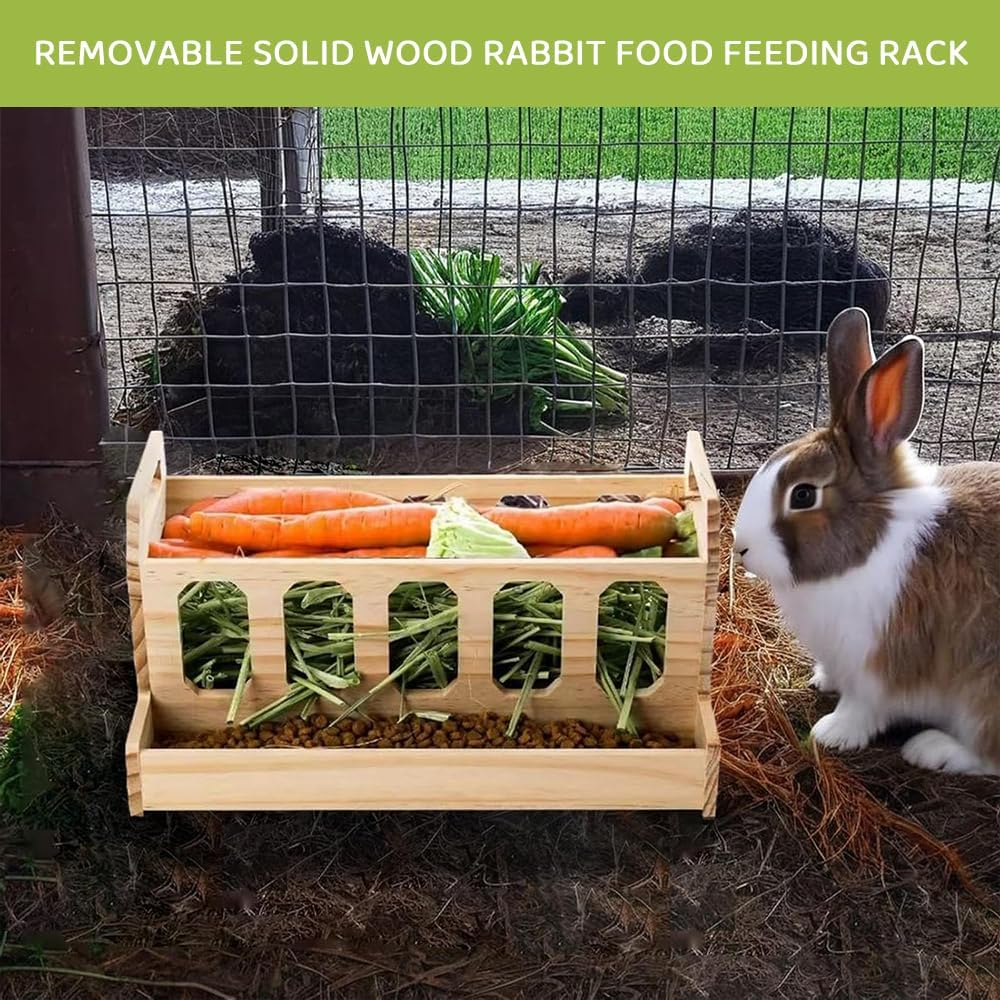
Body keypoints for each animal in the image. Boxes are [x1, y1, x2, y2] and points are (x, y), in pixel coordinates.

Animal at [733, 306, 1000, 775]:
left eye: (803, 495)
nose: (740, 546)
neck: (871, 546)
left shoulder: (878, 666)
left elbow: (863, 708)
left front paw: (831, 733)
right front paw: (822, 681)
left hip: (984, 693)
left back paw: (932, 748)